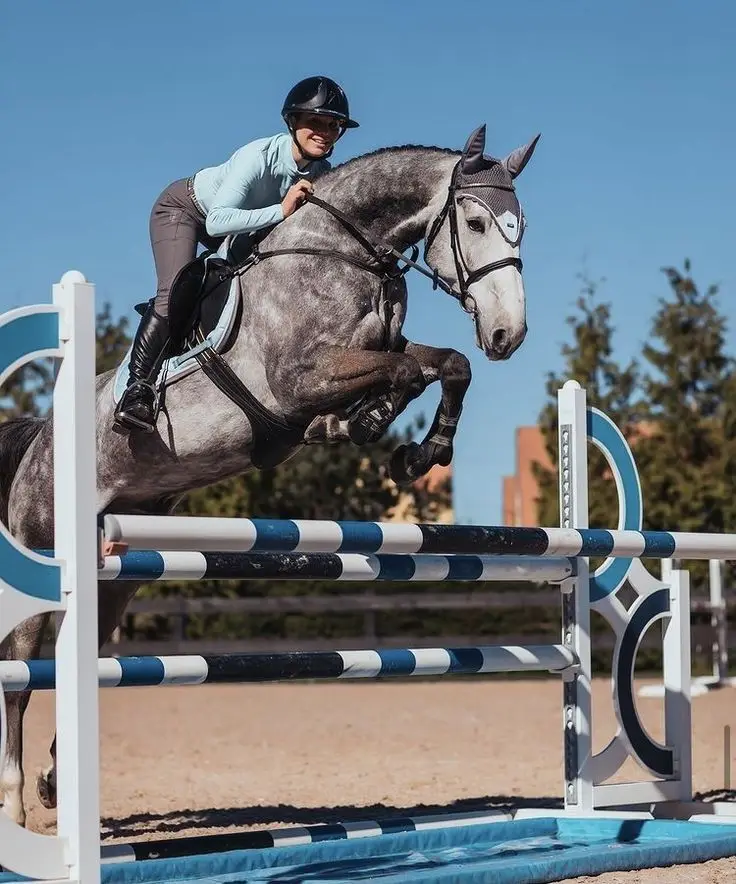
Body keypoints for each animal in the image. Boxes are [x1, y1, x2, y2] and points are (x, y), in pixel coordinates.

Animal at [0, 122, 539, 825]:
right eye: (475, 222)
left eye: (522, 227)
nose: (508, 335)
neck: (343, 251)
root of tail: (39, 437)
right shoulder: (301, 378)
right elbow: (401, 370)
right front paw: (374, 425)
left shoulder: (377, 355)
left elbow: (445, 364)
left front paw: (411, 449)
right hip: (41, 554)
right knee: (19, 678)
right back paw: (16, 803)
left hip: (116, 575)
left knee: (82, 656)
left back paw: (55, 783)